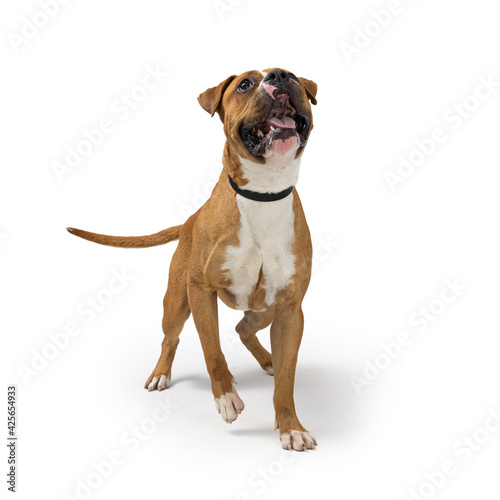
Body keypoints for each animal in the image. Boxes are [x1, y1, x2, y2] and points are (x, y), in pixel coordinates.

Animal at [66, 67, 318, 454]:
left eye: (294, 76)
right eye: (245, 84)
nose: (279, 75)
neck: (263, 193)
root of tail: (188, 222)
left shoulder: (291, 310)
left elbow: (287, 379)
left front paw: (291, 427)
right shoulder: (201, 290)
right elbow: (211, 349)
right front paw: (226, 397)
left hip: (267, 309)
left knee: (244, 327)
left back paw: (268, 360)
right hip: (176, 303)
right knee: (171, 338)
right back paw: (160, 374)